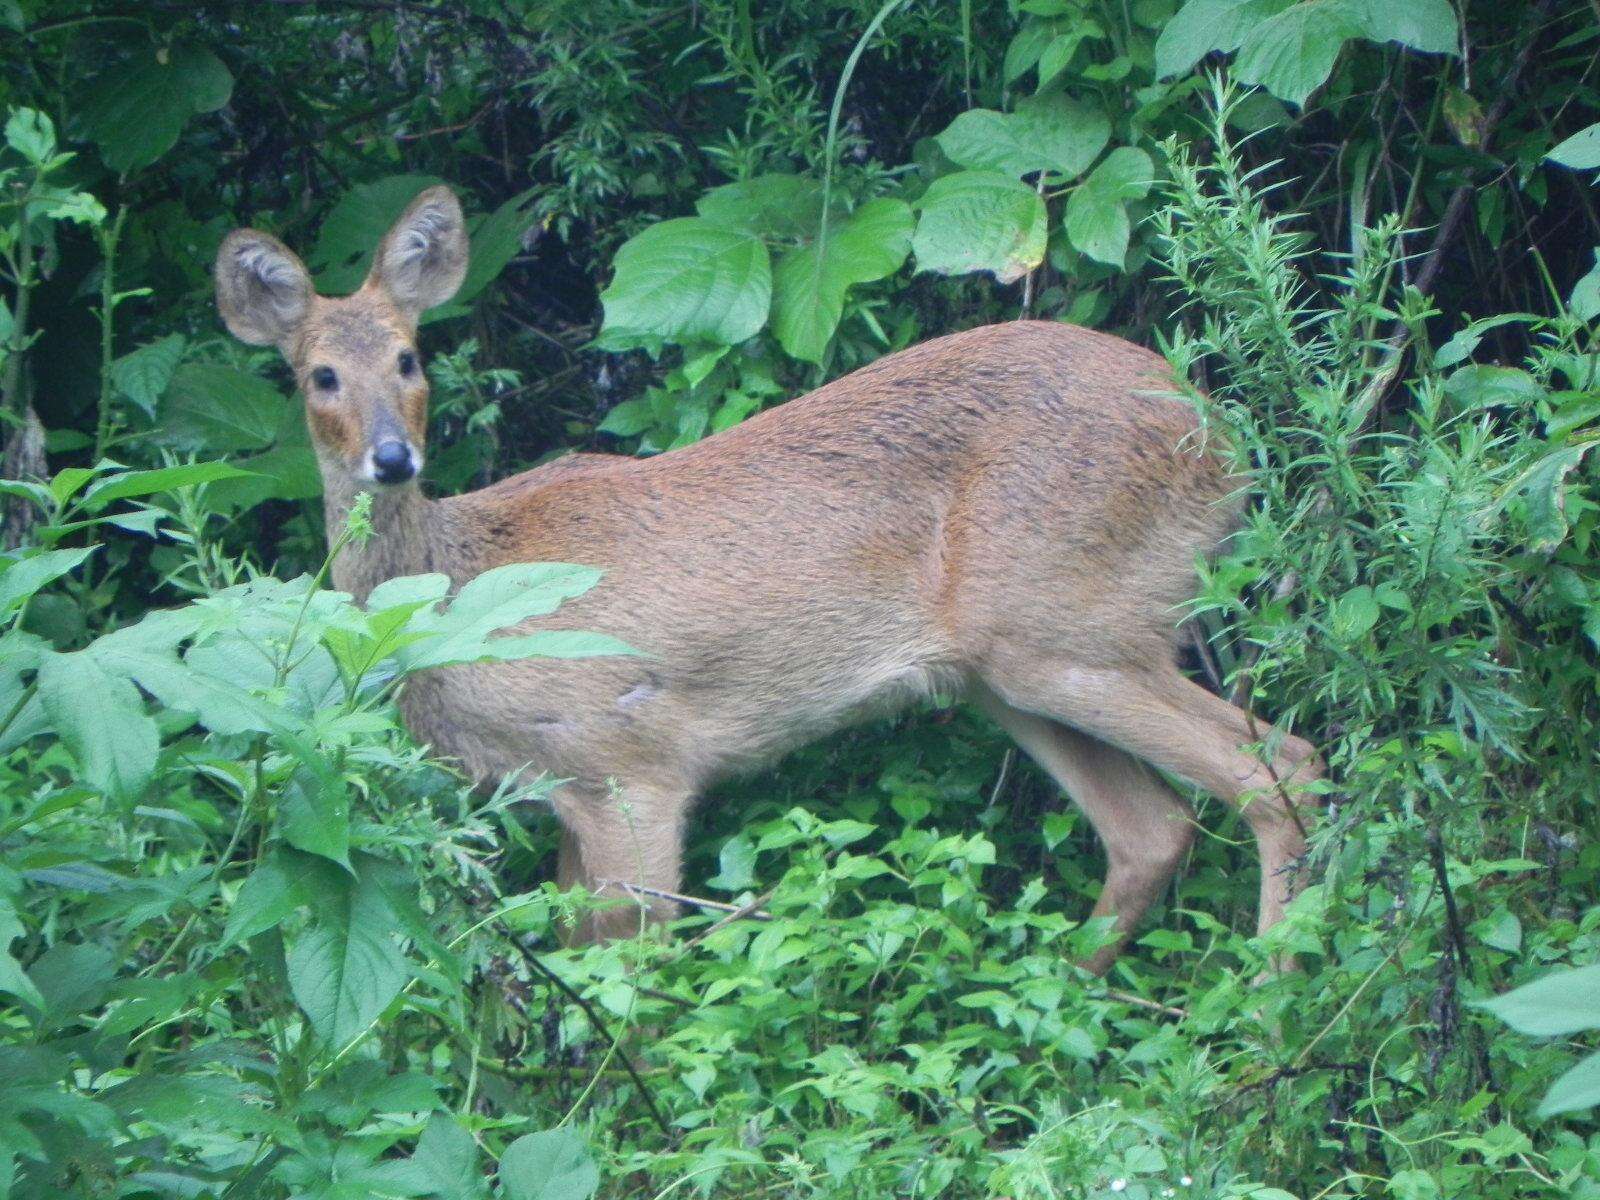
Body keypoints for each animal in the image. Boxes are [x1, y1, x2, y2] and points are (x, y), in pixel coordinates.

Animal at [216, 188, 1324, 979]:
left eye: (410, 357)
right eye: (318, 376)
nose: (391, 457)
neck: (458, 583)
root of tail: (1227, 445)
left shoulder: (631, 764)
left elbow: (631, 989)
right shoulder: (561, 795)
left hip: (1076, 626)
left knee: (1282, 769)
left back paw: (1268, 1018)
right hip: (1011, 670)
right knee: (1154, 830)